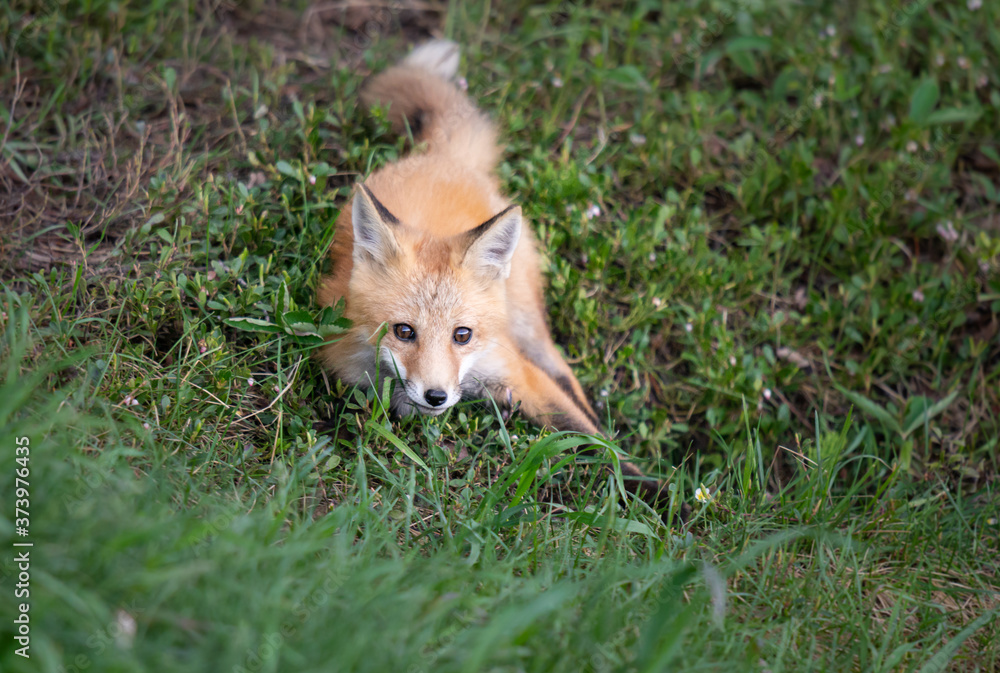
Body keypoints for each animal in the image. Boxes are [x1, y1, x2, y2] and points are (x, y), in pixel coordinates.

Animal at [317, 40, 670, 516]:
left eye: (462, 335)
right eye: (404, 331)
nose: (436, 397)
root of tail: (439, 159)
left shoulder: (514, 370)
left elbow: (590, 440)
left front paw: (664, 498)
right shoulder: (345, 367)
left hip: (525, 322)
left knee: (566, 377)